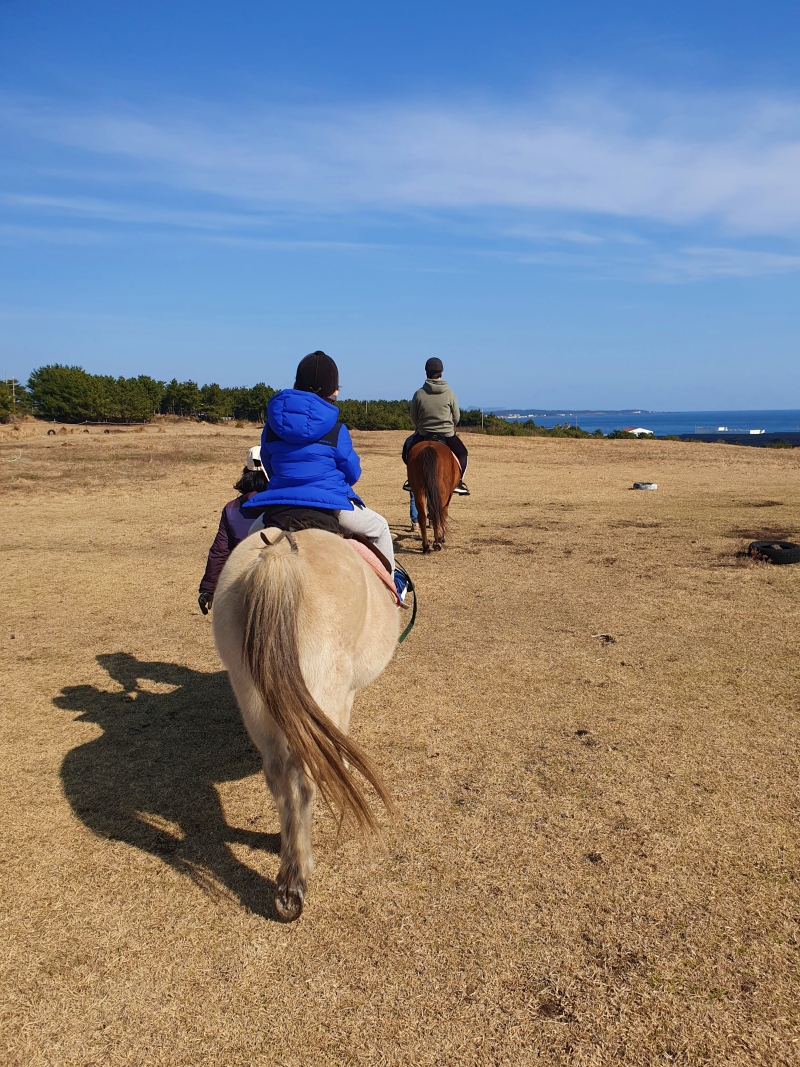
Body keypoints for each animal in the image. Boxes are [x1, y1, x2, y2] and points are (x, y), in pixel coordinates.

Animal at [213, 524, 401, 917]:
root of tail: (280, 558)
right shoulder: (342, 694)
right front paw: (342, 763)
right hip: (321, 681)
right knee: (303, 776)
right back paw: (295, 880)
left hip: (251, 694)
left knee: (276, 773)